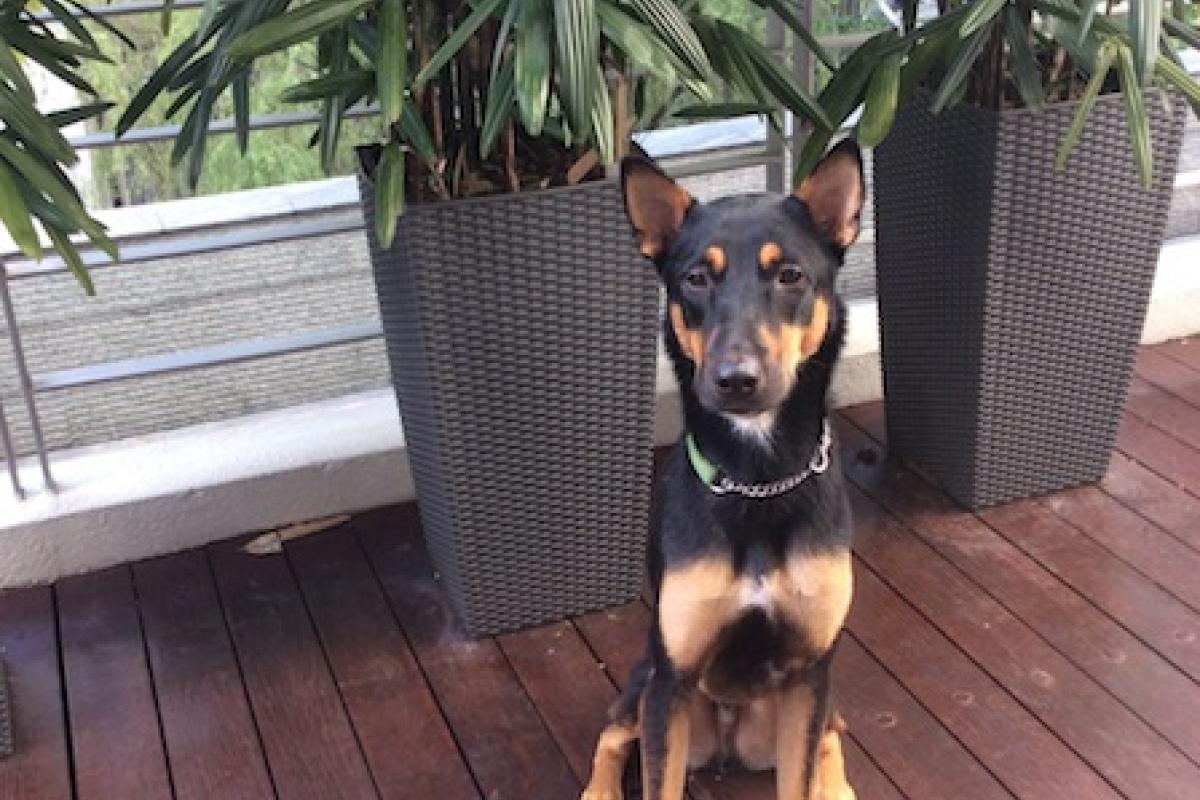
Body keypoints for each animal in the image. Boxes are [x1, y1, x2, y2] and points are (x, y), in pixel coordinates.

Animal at [580, 139, 865, 800]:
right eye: (696, 278)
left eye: (790, 275)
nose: (736, 380)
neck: (757, 481)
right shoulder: (671, 679)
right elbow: (654, 780)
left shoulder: (812, 673)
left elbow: (802, 772)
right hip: (645, 682)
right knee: (612, 733)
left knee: (833, 735)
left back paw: (838, 786)